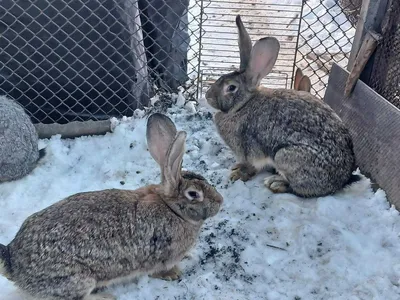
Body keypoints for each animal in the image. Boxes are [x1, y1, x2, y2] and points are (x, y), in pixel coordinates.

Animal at [0, 113, 222, 300]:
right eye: (194, 194)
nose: (220, 202)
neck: (172, 208)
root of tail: (13, 262)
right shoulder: (161, 255)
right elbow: (160, 270)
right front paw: (174, 274)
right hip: (77, 279)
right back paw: (105, 297)